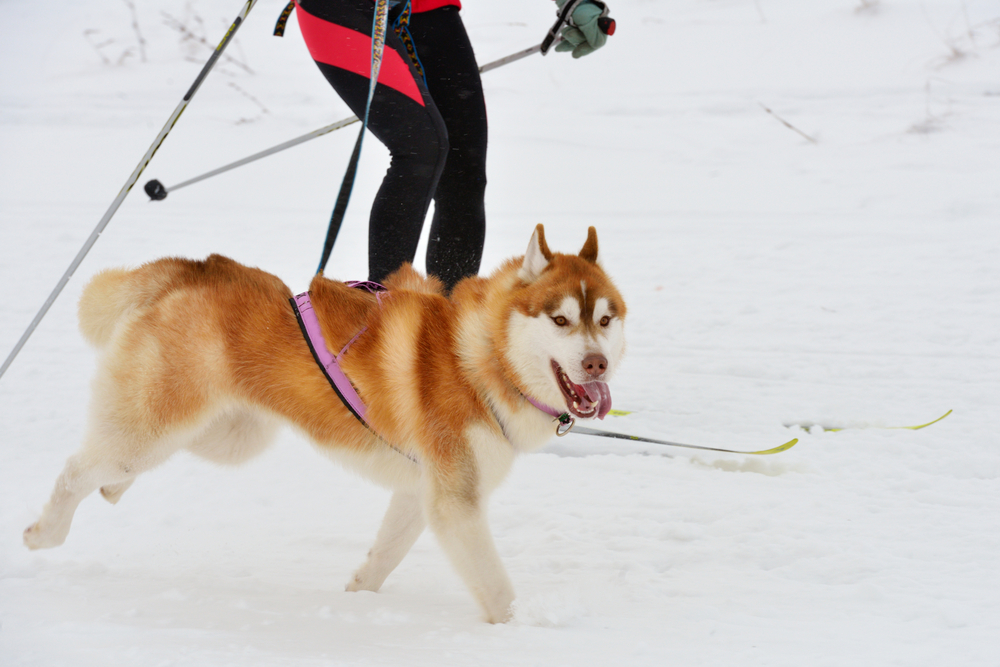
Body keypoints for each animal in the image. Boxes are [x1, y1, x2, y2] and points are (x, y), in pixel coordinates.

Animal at [23, 227, 624, 624]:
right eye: (560, 319)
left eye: (604, 319)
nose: (597, 364)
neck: (482, 358)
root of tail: (189, 268)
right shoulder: (456, 500)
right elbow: (497, 590)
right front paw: (519, 631)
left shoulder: (424, 491)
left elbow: (385, 552)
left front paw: (356, 595)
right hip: (160, 426)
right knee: (76, 469)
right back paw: (46, 531)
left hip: (229, 435)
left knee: (116, 461)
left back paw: (113, 488)